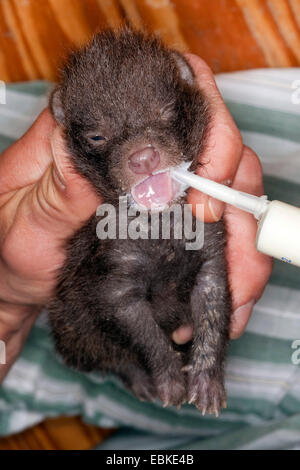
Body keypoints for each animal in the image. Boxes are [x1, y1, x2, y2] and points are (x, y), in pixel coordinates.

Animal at [48, 27, 231, 414]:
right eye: (97, 136)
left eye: (165, 111)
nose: (143, 157)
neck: (160, 225)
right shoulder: (113, 280)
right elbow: (144, 336)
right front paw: (169, 381)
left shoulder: (210, 251)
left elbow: (213, 310)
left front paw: (207, 381)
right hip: (72, 325)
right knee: (113, 357)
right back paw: (140, 382)